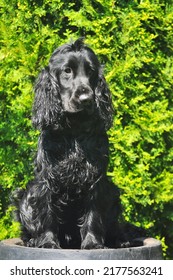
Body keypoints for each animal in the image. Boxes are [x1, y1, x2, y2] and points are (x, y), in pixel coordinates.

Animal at [15, 37, 122, 249]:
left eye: (90, 71)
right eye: (67, 71)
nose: (86, 98)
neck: (74, 129)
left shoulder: (95, 177)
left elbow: (93, 213)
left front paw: (92, 243)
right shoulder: (46, 178)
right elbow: (46, 212)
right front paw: (47, 242)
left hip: (113, 193)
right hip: (25, 195)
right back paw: (31, 240)